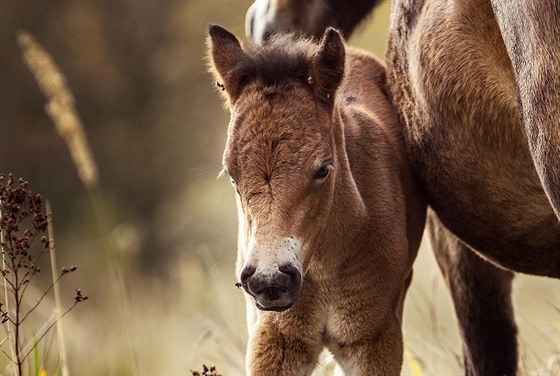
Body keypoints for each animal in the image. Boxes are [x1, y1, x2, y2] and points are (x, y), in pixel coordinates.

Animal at [207, 25, 424, 374]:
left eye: (322, 170)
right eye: (231, 174)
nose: (270, 279)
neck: (322, 266)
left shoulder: (373, 339)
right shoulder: (277, 339)